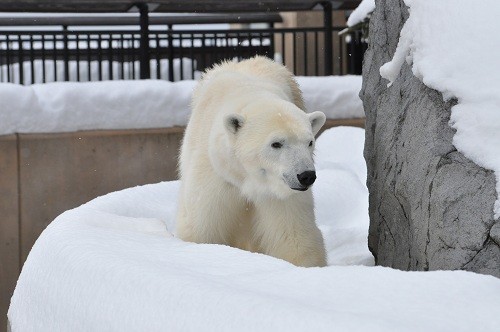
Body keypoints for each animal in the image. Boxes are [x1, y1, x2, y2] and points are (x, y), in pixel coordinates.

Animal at [177, 55, 328, 268]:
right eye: (276, 143)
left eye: (310, 142)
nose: (306, 176)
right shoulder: (215, 175)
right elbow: (201, 226)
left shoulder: (279, 194)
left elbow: (293, 235)